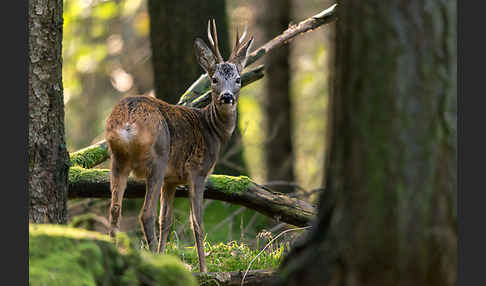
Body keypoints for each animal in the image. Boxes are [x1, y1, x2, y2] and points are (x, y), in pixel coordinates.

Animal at [105, 20, 252, 272]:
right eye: (214, 79)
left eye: (238, 79)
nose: (226, 97)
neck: (211, 129)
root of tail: (127, 119)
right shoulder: (197, 172)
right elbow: (197, 223)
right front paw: (204, 269)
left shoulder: (171, 180)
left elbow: (166, 221)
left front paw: (167, 256)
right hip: (158, 158)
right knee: (146, 214)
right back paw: (152, 261)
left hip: (118, 159)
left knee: (115, 210)